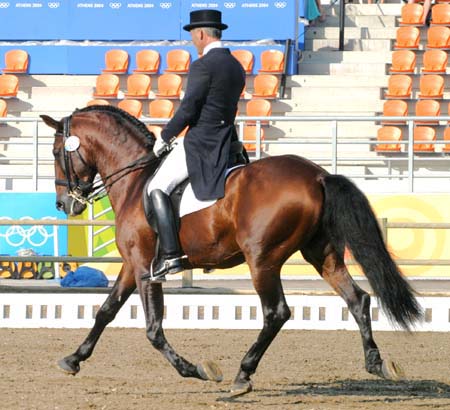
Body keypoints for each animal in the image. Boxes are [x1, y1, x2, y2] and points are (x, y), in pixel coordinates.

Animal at [40, 105, 424, 398]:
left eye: (58, 152)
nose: (64, 204)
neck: (136, 180)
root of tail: (317, 176)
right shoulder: (131, 265)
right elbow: (106, 311)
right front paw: (73, 359)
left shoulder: (143, 265)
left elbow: (153, 329)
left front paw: (197, 369)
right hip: (322, 255)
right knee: (357, 299)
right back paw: (377, 364)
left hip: (262, 260)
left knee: (276, 313)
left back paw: (243, 375)